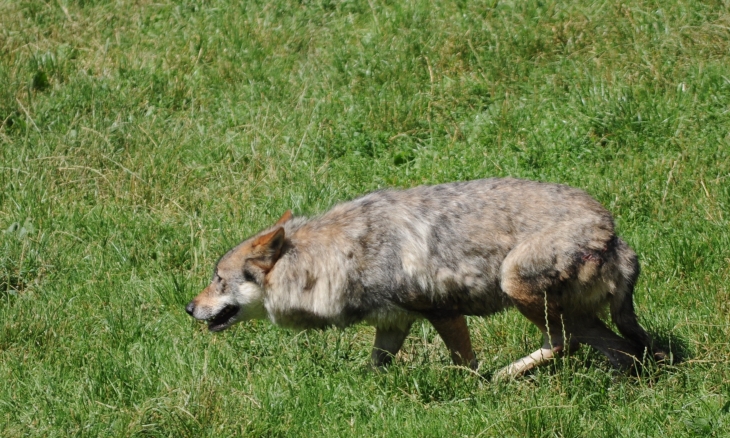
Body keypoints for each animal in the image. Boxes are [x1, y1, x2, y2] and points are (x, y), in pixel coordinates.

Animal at [185, 177, 664, 376]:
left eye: (219, 280)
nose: (188, 307)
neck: (335, 257)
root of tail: (613, 233)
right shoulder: (393, 324)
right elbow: (374, 368)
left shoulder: (442, 312)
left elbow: (465, 366)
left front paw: (472, 393)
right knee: (619, 351)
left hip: (516, 284)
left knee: (570, 343)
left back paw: (503, 379)